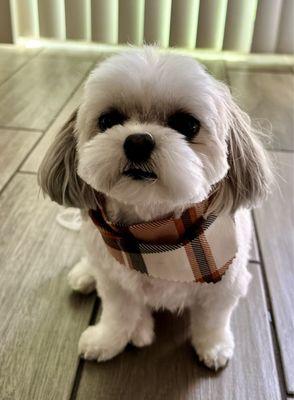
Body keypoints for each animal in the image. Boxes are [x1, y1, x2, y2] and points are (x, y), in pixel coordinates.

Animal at [38, 48, 272, 370]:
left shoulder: (225, 285)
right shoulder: (116, 285)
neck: (153, 236)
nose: (138, 141)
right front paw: (107, 340)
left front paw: (213, 346)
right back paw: (87, 276)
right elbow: (118, 314)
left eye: (187, 125)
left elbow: (212, 320)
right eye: (108, 120)